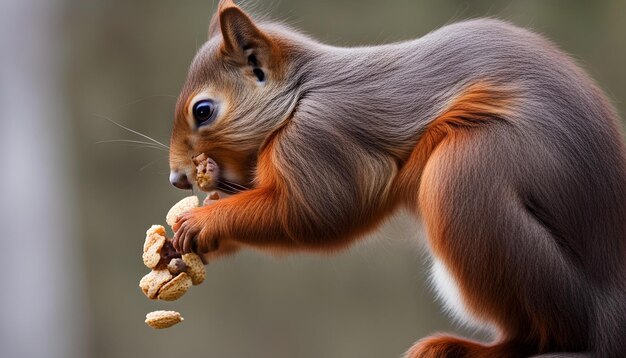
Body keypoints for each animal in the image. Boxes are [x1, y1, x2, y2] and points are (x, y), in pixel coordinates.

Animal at [166, 1, 624, 356]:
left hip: (469, 173)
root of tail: (610, 308)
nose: (176, 178)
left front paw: (202, 221)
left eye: (203, 111)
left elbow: (316, 213)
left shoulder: (320, 141)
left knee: (551, 335)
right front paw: (182, 245)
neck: (299, 95)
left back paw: (470, 348)